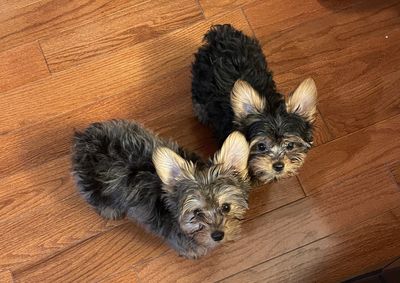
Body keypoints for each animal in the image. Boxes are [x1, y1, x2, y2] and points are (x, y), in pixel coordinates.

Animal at [71, 120, 250, 260]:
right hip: (91, 183)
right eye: (197, 213)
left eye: (226, 207)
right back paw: (110, 210)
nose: (218, 235)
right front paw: (195, 252)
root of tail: (84, 139)